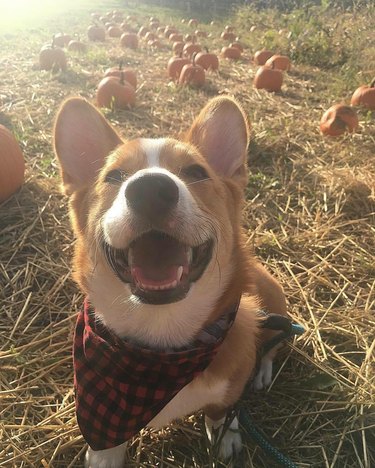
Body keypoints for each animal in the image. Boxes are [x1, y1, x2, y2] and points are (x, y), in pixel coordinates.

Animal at [54, 96, 286, 468]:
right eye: (113, 176)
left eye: (196, 172)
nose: (150, 189)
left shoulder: (229, 387)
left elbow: (221, 411)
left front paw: (227, 437)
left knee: (273, 345)